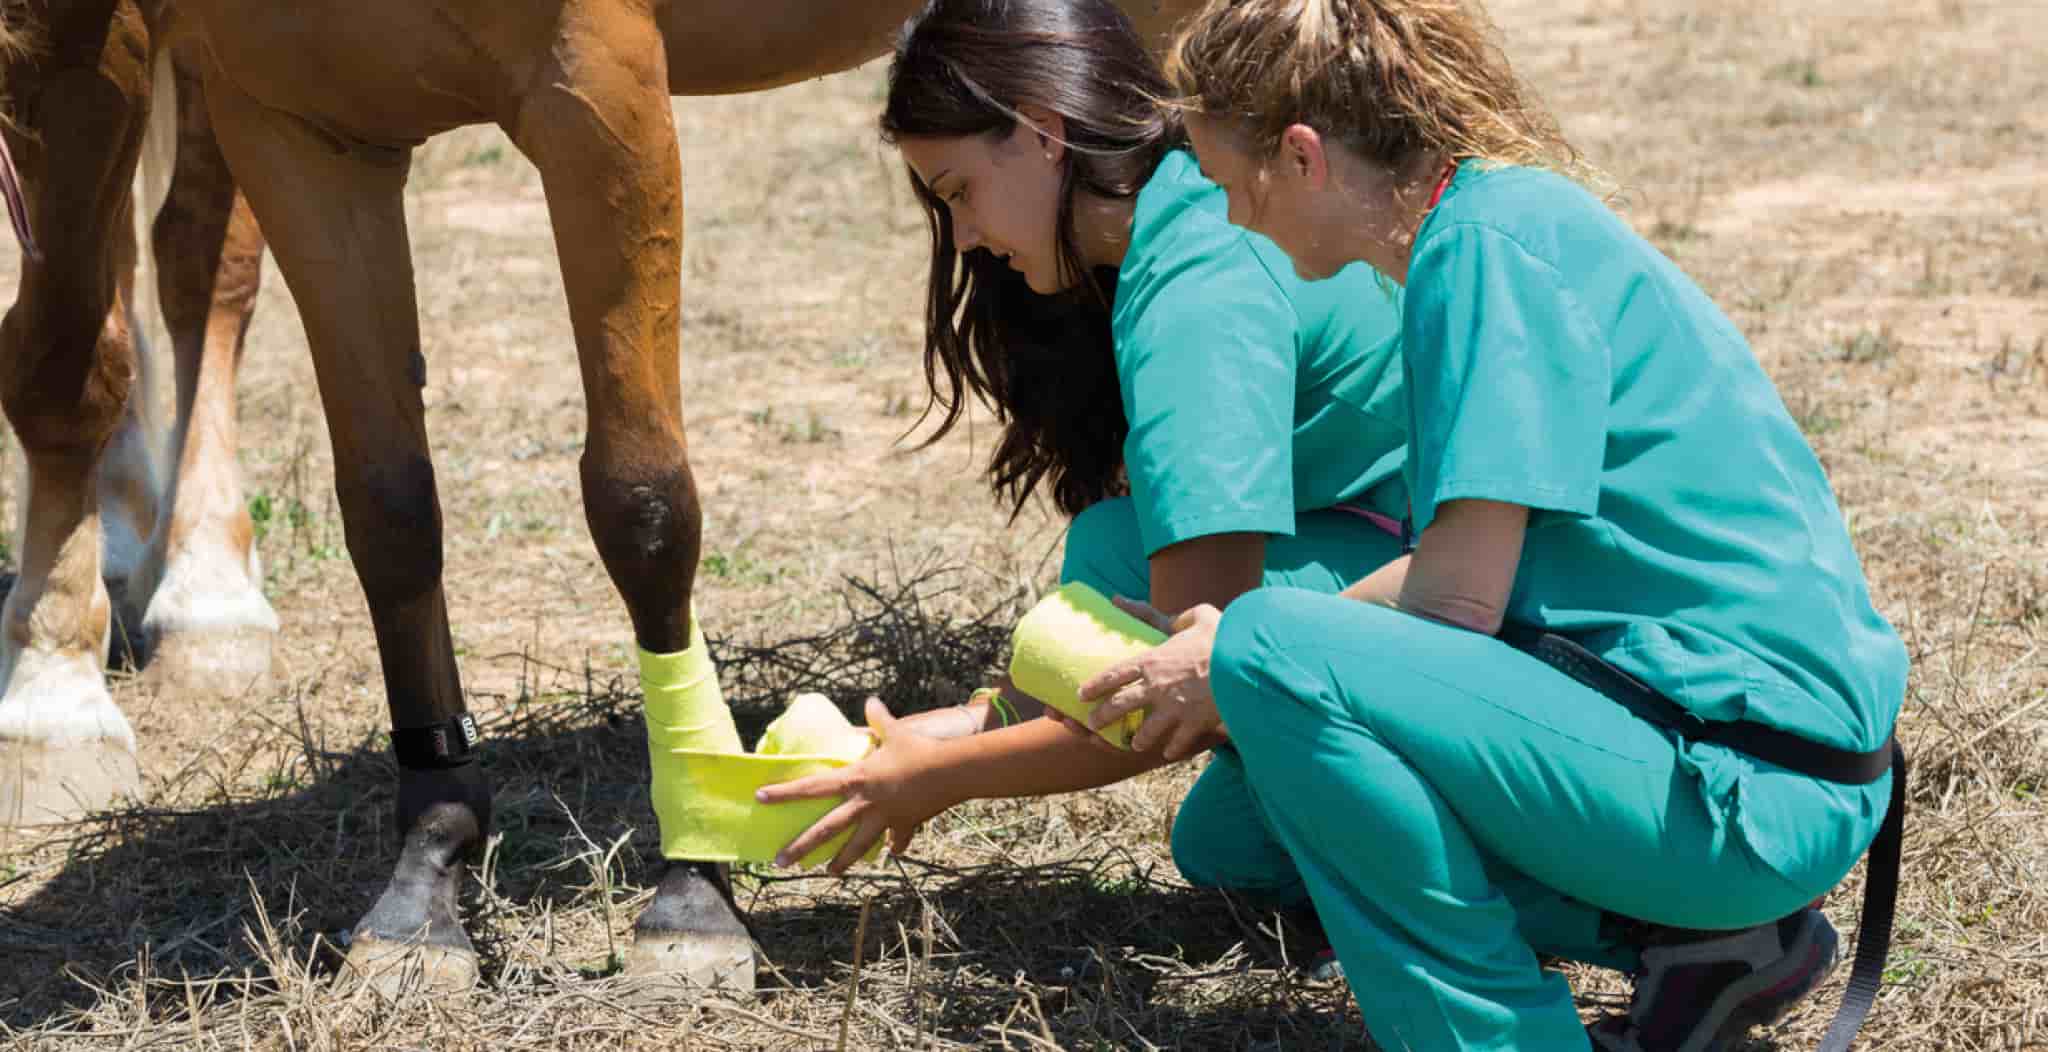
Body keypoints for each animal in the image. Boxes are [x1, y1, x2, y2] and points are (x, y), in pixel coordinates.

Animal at [1, 0, 1202, 994]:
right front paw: (427, 878)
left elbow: (642, 500)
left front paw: (694, 887)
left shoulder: (599, 92)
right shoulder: (300, 129)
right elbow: (389, 508)